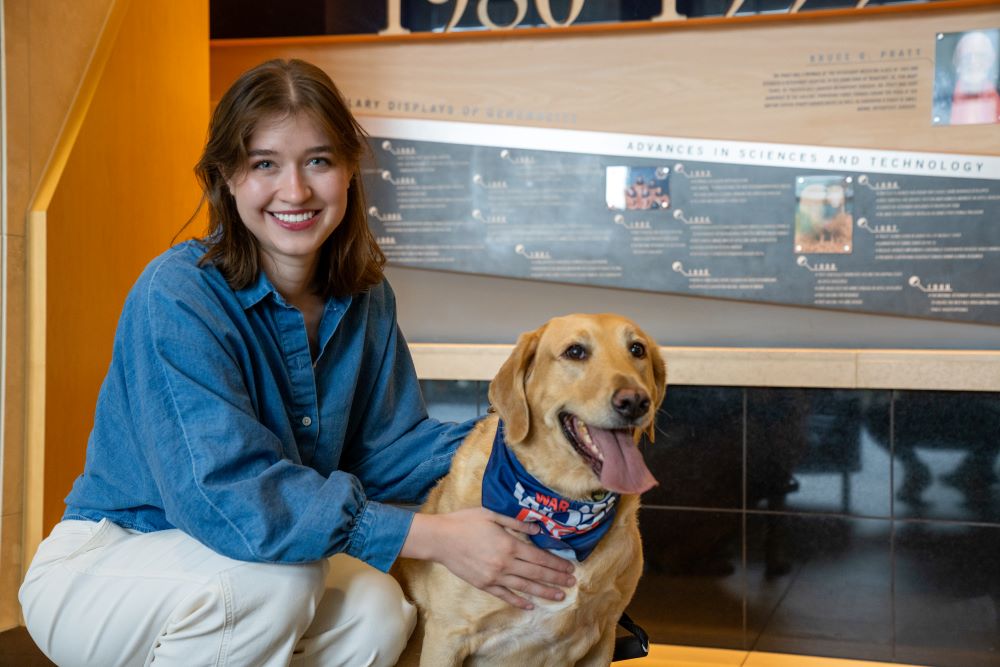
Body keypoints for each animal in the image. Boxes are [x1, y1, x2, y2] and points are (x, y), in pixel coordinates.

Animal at [394, 314, 668, 667]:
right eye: (575, 351)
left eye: (637, 349)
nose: (634, 401)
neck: (560, 511)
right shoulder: (447, 635)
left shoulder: (603, 635)